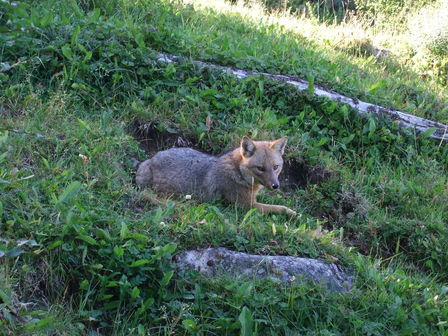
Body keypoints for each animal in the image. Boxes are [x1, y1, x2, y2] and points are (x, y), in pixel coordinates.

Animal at [135, 136, 296, 215]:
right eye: (260, 168)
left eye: (275, 167)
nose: (275, 186)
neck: (237, 170)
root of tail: (152, 159)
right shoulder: (246, 205)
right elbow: (279, 207)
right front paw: (292, 213)